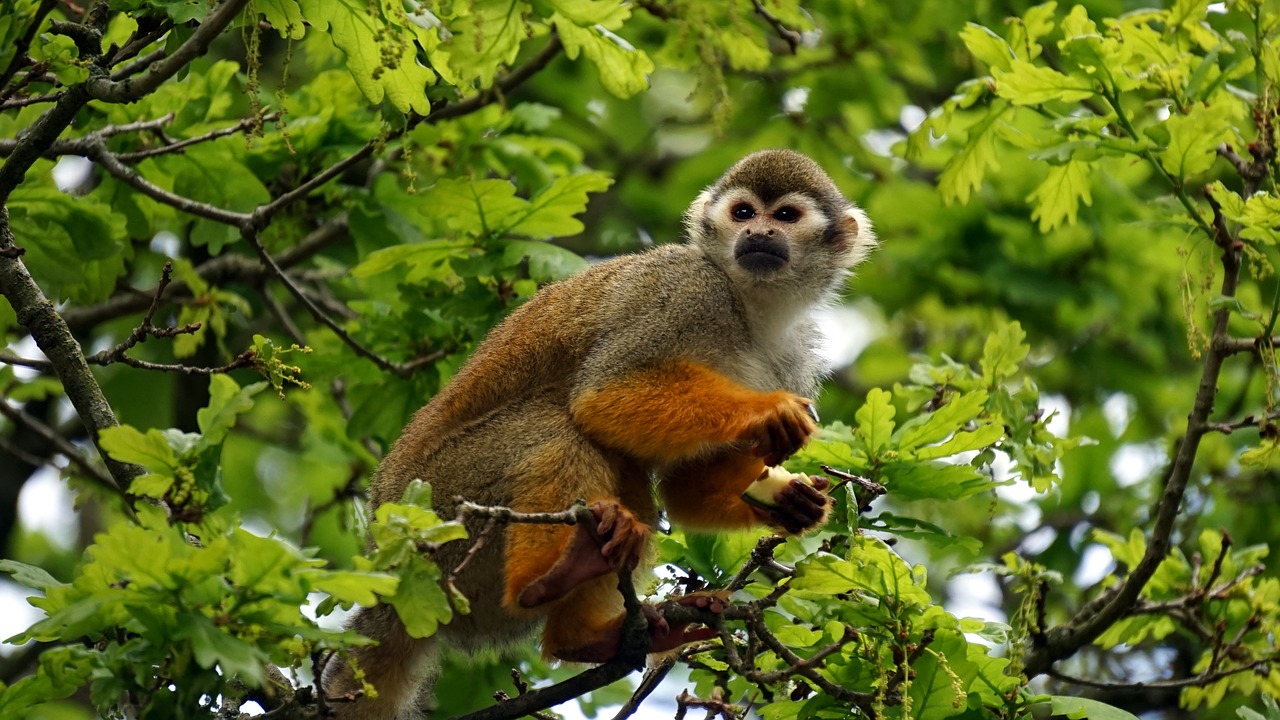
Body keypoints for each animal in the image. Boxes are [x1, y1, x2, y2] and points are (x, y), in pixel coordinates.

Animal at [325, 148, 875, 712]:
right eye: (743, 213)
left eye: (785, 216)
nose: (759, 233)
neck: (751, 308)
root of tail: (391, 567)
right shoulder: (685, 288)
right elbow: (601, 395)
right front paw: (766, 412)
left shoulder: (797, 356)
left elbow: (683, 489)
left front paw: (791, 504)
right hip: (439, 509)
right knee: (557, 426)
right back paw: (547, 578)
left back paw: (586, 635)